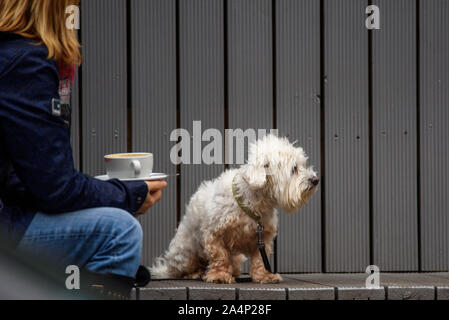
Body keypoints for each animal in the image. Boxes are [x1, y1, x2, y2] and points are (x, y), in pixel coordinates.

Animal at [150, 134, 318, 284]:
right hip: (185, 254)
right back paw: (195, 273)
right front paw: (219, 276)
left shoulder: (263, 237)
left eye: (303, 165)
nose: (315, 180)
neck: (254, 203)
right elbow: (220, 256)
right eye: (294, 168)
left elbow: (260, 259)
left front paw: (264, 276)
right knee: (180, 270)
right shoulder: (214, 234)